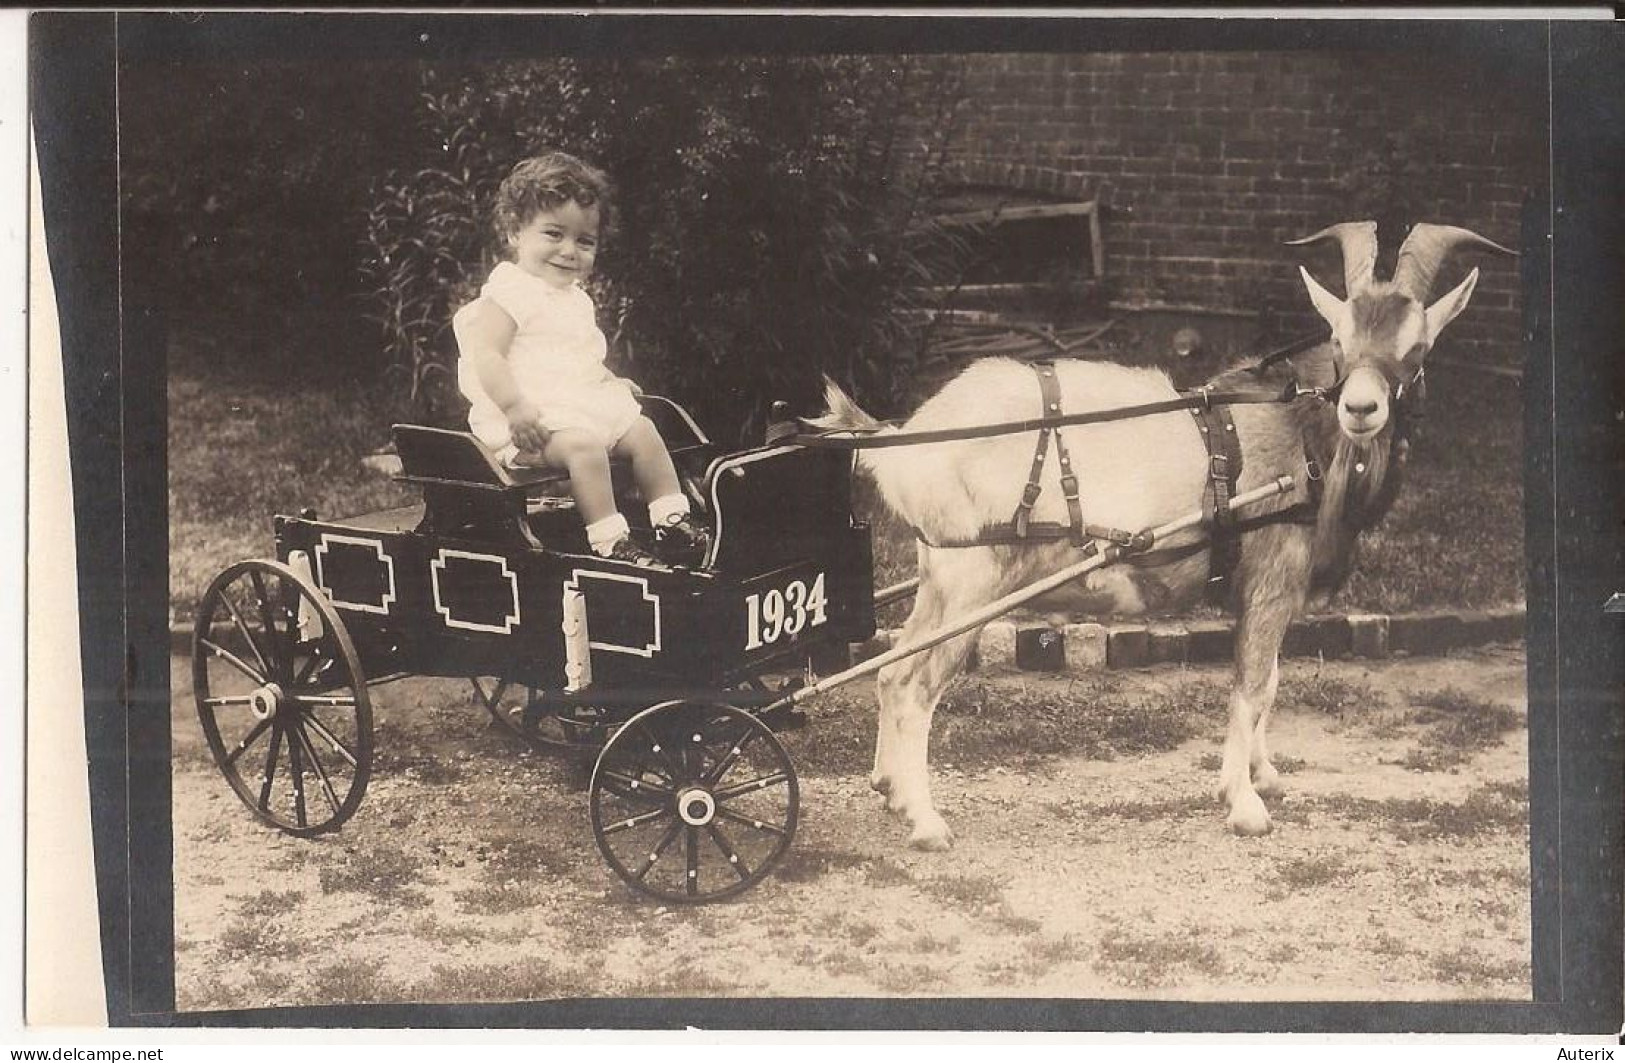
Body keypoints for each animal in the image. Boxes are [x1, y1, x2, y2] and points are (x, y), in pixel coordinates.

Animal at [819, 222, 1514, 851]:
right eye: (1340, 340)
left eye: (1417, 346)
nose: (1362, 409)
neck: (1300, 436)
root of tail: (908, 440)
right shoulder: (1269, 581)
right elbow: (1251, 687)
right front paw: (1244, 805)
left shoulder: (1273, 594)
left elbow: (1271, 683)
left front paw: (1266, 774)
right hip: (974, 587)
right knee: (914, 686)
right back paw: (925, 822)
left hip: (939, 582)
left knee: (889, 671)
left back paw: (889, 789)